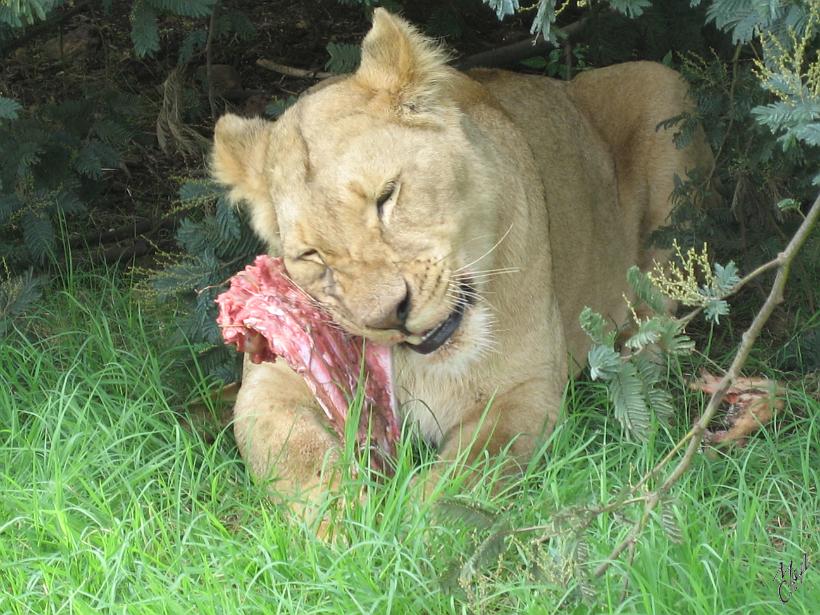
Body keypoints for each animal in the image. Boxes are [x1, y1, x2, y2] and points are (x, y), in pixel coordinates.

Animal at [210, 9, 713, 506]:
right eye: (311, 254)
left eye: (386, 196)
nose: (390, 316)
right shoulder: (267, 390)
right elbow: (300, 458)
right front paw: (344, 519)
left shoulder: (523, 392)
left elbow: (463, 480)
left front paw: (405, 523)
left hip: (662, 90)